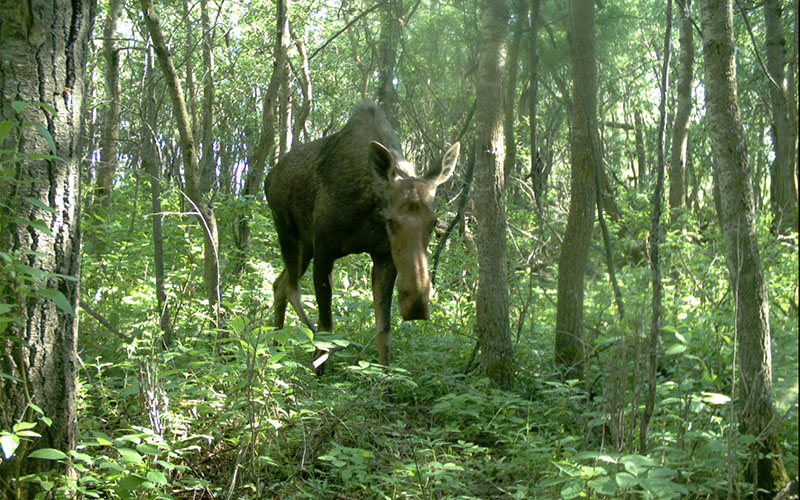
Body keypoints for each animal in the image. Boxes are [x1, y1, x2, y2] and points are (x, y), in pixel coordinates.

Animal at [266, 101, 460, 370]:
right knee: (291, 288)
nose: (416, 305)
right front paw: (320, 368)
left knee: (279, 283)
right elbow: (326, 328)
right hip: (288, 232)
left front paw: (385, 378)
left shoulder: (384, 256)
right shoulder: (325, 249)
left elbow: (384, 332)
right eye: (391, 221)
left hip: (305, 246)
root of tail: (268, 177)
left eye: (433, 223)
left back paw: (276, 345)